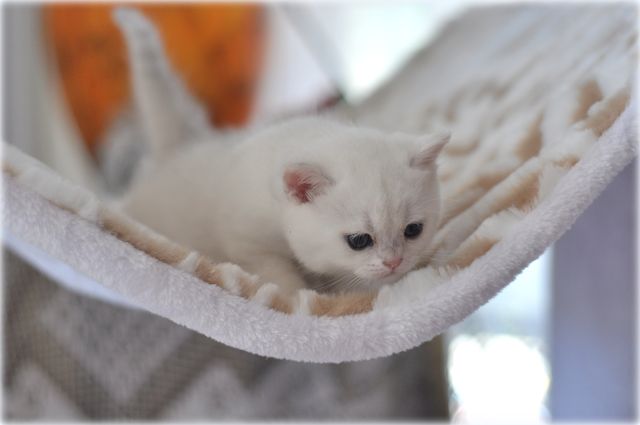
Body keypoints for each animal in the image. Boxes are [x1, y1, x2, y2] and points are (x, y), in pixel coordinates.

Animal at [114, 8, 449, 293]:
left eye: (413, 230)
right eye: (359, 240)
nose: (395, 262)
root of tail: (176, 150)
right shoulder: (247, 242)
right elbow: (279, 275)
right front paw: (303, 294)